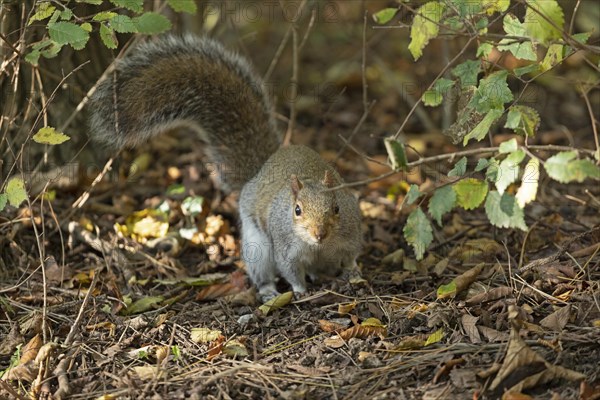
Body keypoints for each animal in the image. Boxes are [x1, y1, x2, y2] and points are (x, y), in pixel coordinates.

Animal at [89, 36, 360, 300]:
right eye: (297, 210)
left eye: (337, 208)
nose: (319, 233)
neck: (318, 247)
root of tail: (262, 169)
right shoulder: (286, 249)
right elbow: (290, 270)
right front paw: (300, 290)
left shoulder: (348, 239)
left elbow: (351, 256)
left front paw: (353, 272)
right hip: (258, 246)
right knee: (262, 270)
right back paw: (269, 290)